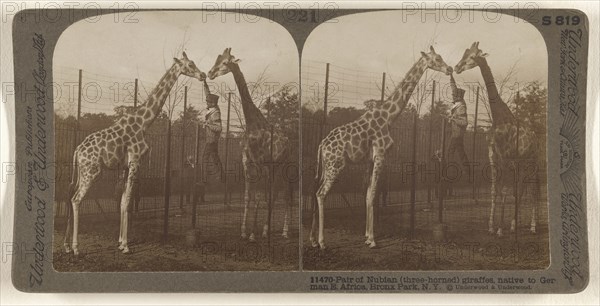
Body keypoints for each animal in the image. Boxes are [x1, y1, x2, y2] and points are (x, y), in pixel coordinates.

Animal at [63, 51, 206, 255]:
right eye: (190, 64)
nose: (203, 75)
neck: (143, 122)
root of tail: (77, 150)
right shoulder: (135, 160)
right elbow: (127, 202)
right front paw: (126, 245)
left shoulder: (125, 166)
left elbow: (124, 200)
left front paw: (120, 242)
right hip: (92, 171)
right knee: (76, 199)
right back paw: (76, 248)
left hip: (81, 171)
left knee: (69, 197)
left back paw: (66, 246)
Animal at [206, 47, 296, 241]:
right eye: (217, 59)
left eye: (225, 62)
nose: (210, 73)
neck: (253, 125)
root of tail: (289, 142)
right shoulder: (248, 163)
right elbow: (249, 197)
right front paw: (245, 231)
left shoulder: (262, 164)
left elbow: (260, 198)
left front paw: (254, 233)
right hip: (274, 169)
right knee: (275, 194)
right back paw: (269, 229)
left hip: (283, 167)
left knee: (284, 195)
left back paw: (284, 231)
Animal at [312, 46, 452, 250]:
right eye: (436, 59)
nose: (450, 69)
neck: (388, 117)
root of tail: (322, 144)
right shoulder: (381, 154)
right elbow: (373, 195)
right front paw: (372, 240)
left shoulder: (370, 160)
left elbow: (368, 194)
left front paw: (366, 235)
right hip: (336, 165)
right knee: (321, 193)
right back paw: (322, 242)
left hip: (325, 167)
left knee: (315, 191)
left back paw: (312, 240)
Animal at [454, 41, 540, 235]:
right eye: (464, 53)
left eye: (472, 56)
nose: (456, 67)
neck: (499, 117)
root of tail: (536, 137)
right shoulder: (494, 156)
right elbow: (496, 190)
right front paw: (492, 226)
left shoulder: (506, 157)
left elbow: (506, 191)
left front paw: (500, 228)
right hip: (520, 163)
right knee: (520, 188)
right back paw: (515, 224)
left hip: (531, 161)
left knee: (531, 189)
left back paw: (532, 226)